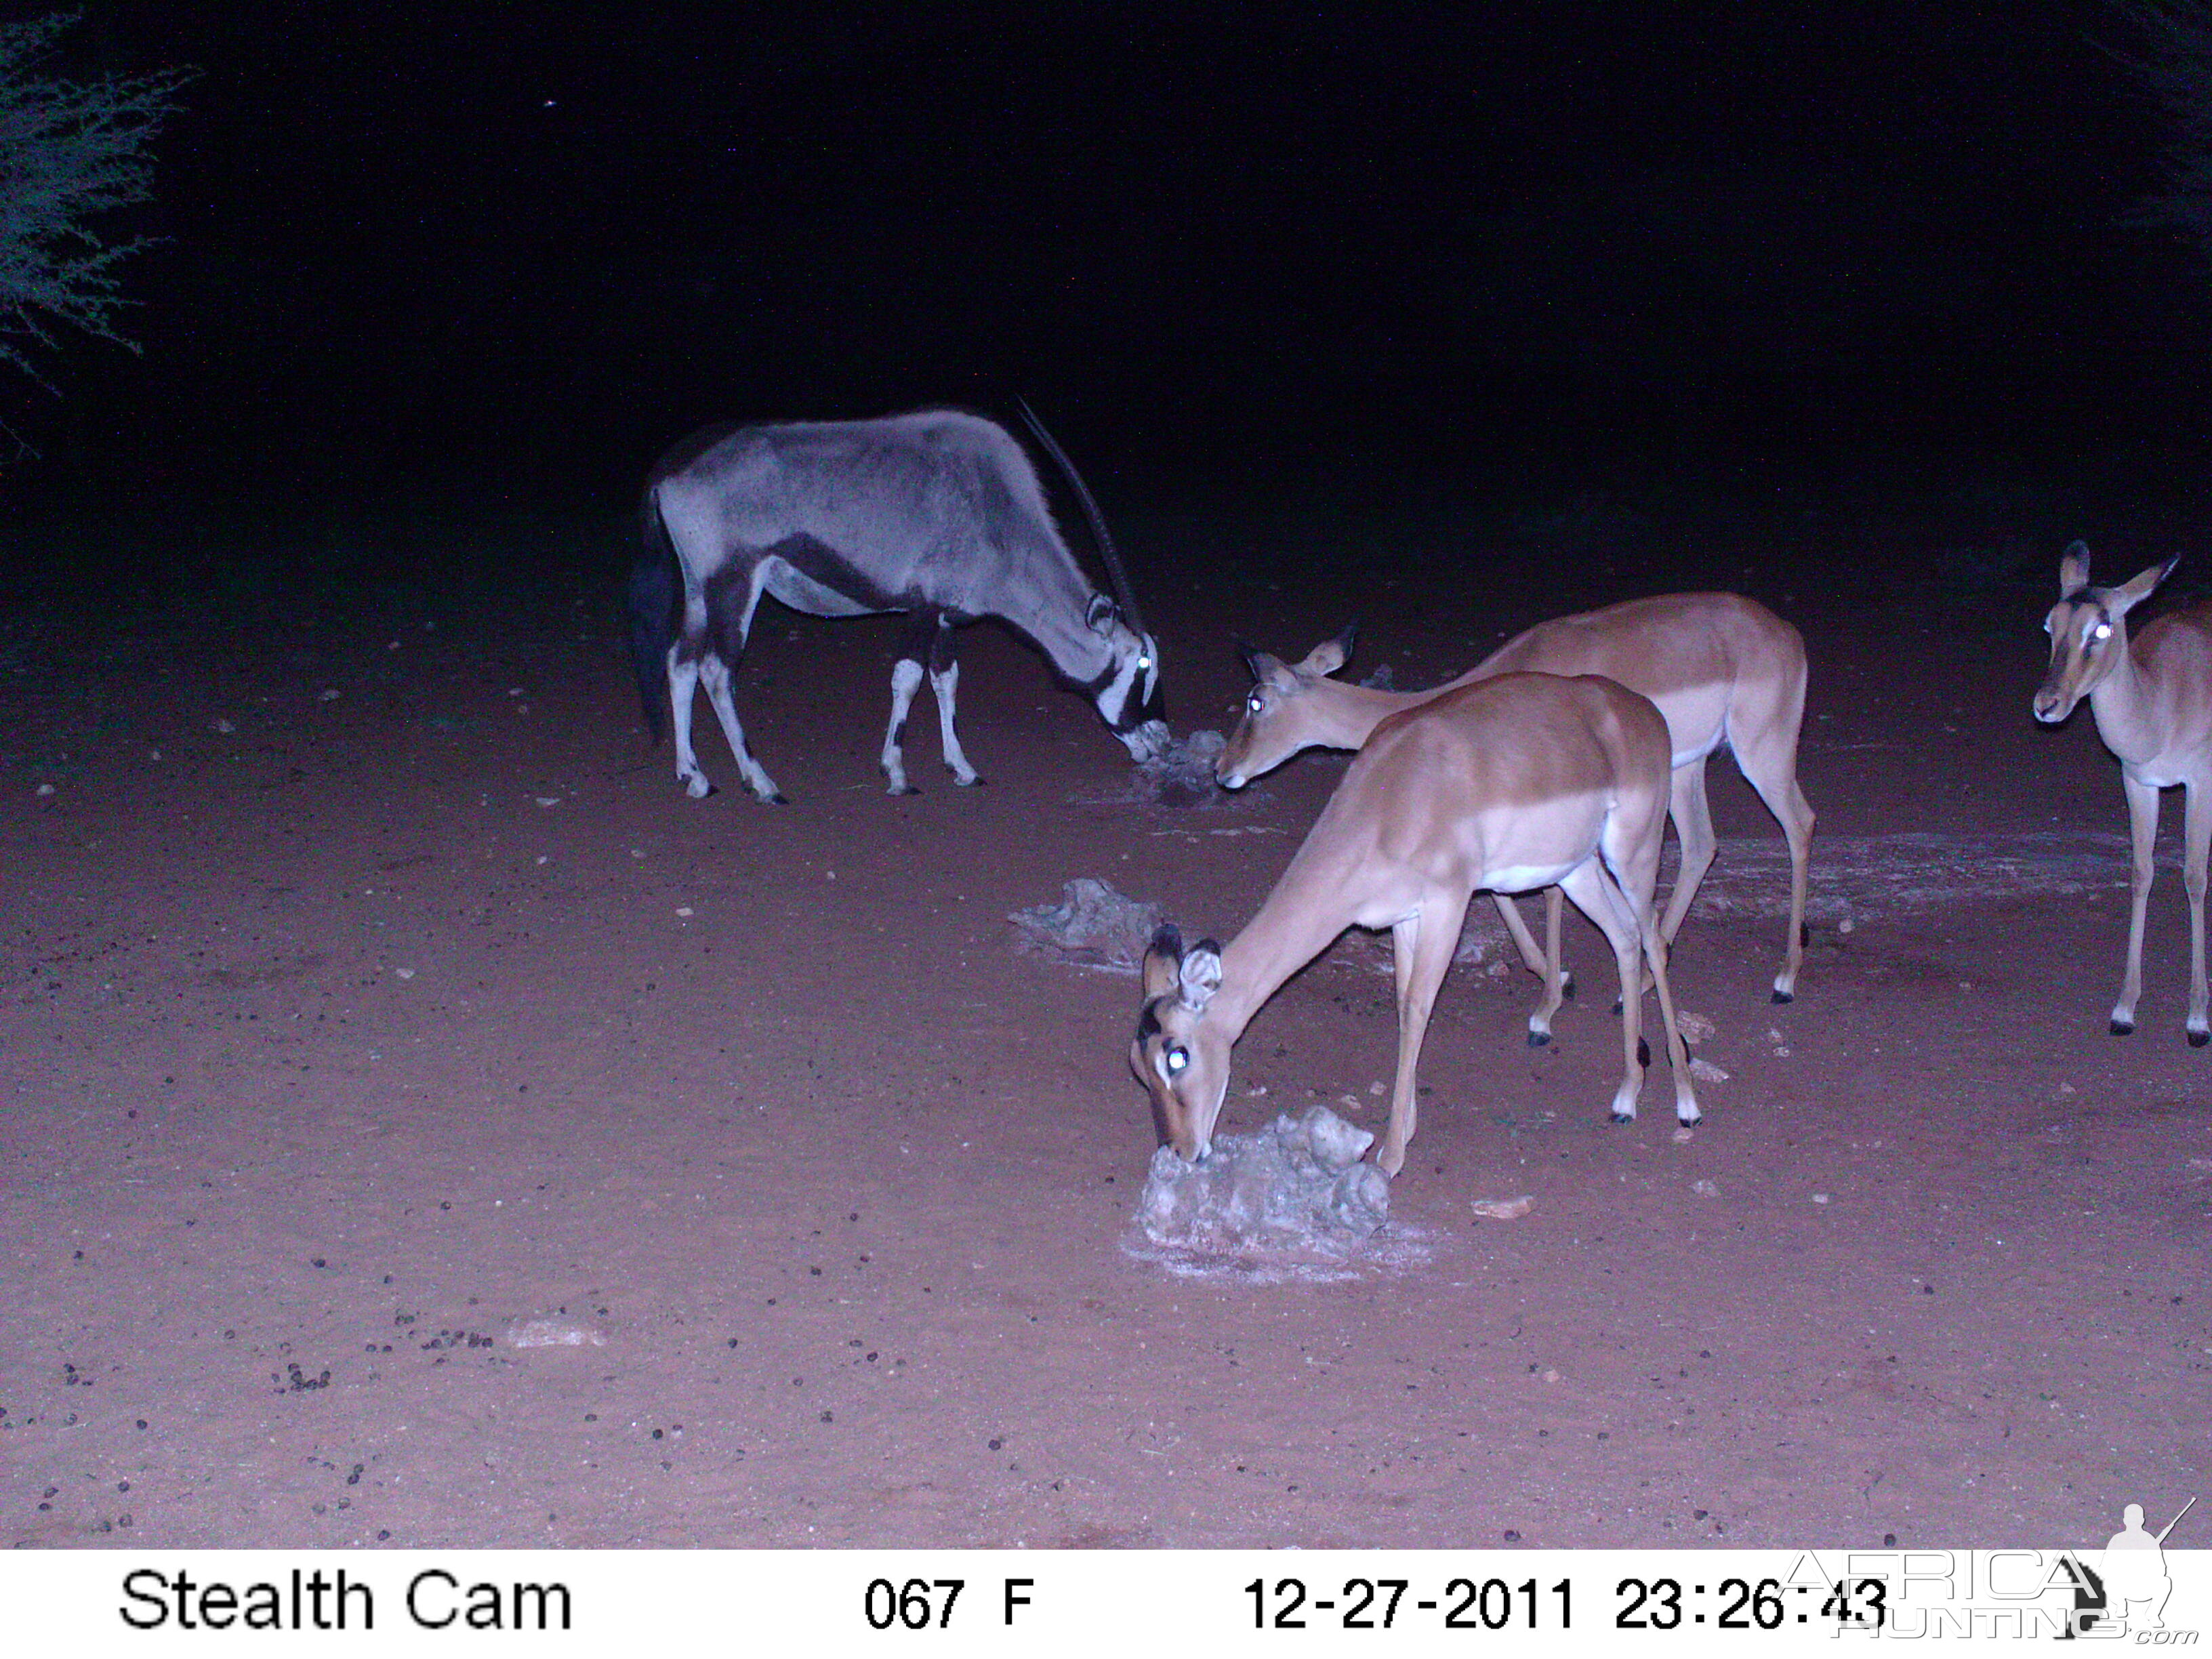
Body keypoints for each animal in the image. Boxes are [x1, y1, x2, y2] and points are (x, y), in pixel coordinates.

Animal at [628, 413, 1168, 809]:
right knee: (717, 670)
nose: (1160, 743)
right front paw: (898, 773)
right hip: (735, 584)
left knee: (681, 662)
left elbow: (946, 679)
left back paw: (694, 775)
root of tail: (672, 467)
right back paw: (760, 782)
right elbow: (908, 678)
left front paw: (962, 768)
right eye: (1141, 666)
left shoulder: (947, 615)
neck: (998, 512)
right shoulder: (922, 608)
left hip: (699, 591)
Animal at [1132, 668, 1698, 1176]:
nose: (1179, 1152)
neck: (1390, 800)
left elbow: (1419, 1006)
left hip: (1633, 852)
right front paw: (1404, 1128)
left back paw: (1685, 1102)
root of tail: (1643, 710)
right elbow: (1404, 1006)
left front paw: (1389, 1156)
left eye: (1178, 1056)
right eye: (1139, 1069)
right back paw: (1626, 1096)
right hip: (1578, 869)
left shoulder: (1450, 903)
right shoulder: (1403, 917)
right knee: (1625, 938)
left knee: (1654, 938)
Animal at [1212, 592, 1814, 1021]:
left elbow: (1544, 894)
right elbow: (1509, 892)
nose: (1222, 770)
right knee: (1700, 846)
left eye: (1255, 702)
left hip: (1760, 752)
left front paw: (1548, 1005)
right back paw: (1640, 981)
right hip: (1688, 769)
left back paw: (1785, 980)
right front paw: (1555, 981)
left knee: (1799, 824)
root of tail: (1788, 633)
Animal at [2034, 546, 2212, 1040]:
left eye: (2102, 627)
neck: (2161, 703)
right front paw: (2124, 1010)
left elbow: (2194, 877)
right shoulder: (2138, 783)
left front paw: (2198, 1018)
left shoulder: (2200, 782)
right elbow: (2141, 874)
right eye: (2049, 625)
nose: (2046, 705)